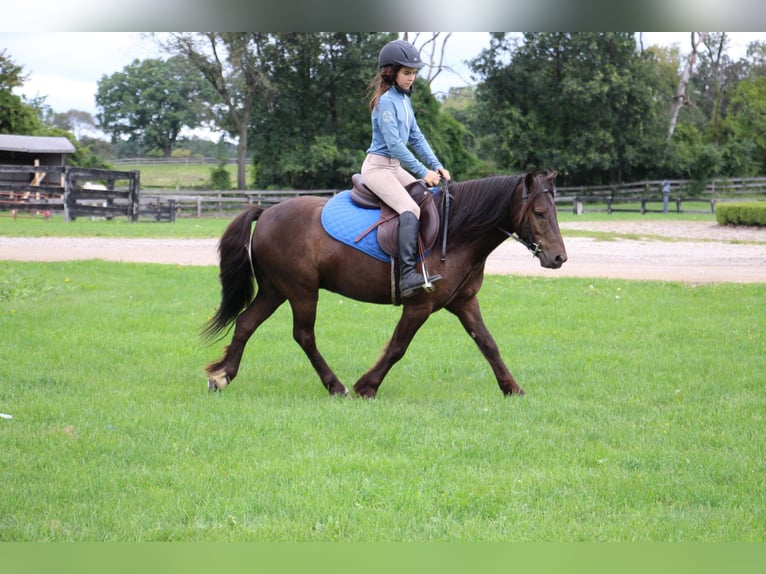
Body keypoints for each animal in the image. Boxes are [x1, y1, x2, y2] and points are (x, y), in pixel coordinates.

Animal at [206, 170, 568, 400]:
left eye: (553, 211)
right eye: (539, 212)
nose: (559, 258)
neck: (457, 232)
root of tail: (267, 213)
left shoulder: (464, 302)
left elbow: (488, 343)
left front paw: (512, 388)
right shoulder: (420, 306)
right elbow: (397, 347)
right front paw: (367, 386)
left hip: (275, 290)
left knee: (246, 323)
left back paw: (222, 376)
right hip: (301, 292)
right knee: (304, 336)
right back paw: (336, 386)